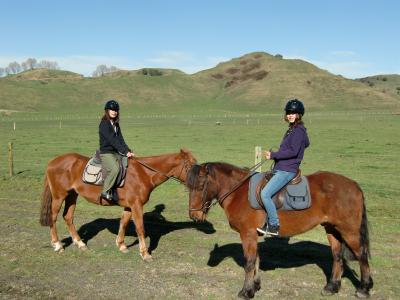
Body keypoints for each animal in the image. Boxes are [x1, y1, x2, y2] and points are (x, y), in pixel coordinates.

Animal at [39, 149, 196, 260]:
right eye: (189, 166)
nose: (196, 184)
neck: (144, 173)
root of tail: (53, 162)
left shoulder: (129, 206)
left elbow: (124, 223)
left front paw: (121, 245)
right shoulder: (136, 205)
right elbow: (140, 228)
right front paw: (145, 254)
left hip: (72, 195)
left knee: (68, 217)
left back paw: (80, 243)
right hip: (59, 196)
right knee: (53, 218)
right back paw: (58, 245)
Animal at [186, 163, 374, 298]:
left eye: (201, 185)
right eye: (188, 187)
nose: (194, 215)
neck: (239, 192)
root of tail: (353, 185)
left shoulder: (247, 234)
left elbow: (249, 262)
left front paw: (246, 291)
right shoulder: (253, 235)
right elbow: (256, 260)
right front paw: (255, 286)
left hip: (349, 231)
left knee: (362, 256)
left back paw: (364, 289)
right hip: (332, 229)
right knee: (337, 257)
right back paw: (332, 287)